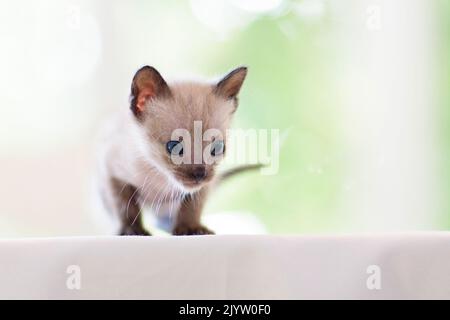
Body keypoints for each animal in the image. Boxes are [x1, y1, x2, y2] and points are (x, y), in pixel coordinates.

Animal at [96, 65, 248, 235]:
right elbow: (126, 208)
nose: (200, 175)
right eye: (174, 147)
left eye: (217, 148)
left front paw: (190, 229)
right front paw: (133, 231)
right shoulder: (113, 174)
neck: (162, 177)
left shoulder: (202, 187)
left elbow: (191, 207)